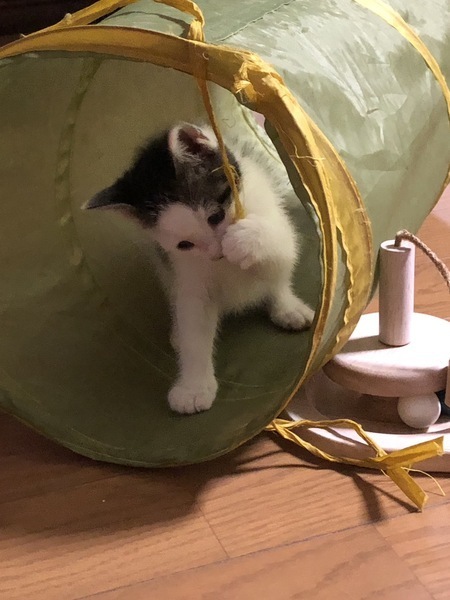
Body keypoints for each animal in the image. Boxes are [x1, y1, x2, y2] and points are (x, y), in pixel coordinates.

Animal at [84, 123, 314, 414]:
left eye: (215, 217)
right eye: (185, 244)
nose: (216, 253)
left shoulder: (273, 217)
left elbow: (280, 254)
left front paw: (244, 239)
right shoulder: (183, 271)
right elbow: (194, 325)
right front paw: (193, 388)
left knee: (278, 281)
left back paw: (288, 308)